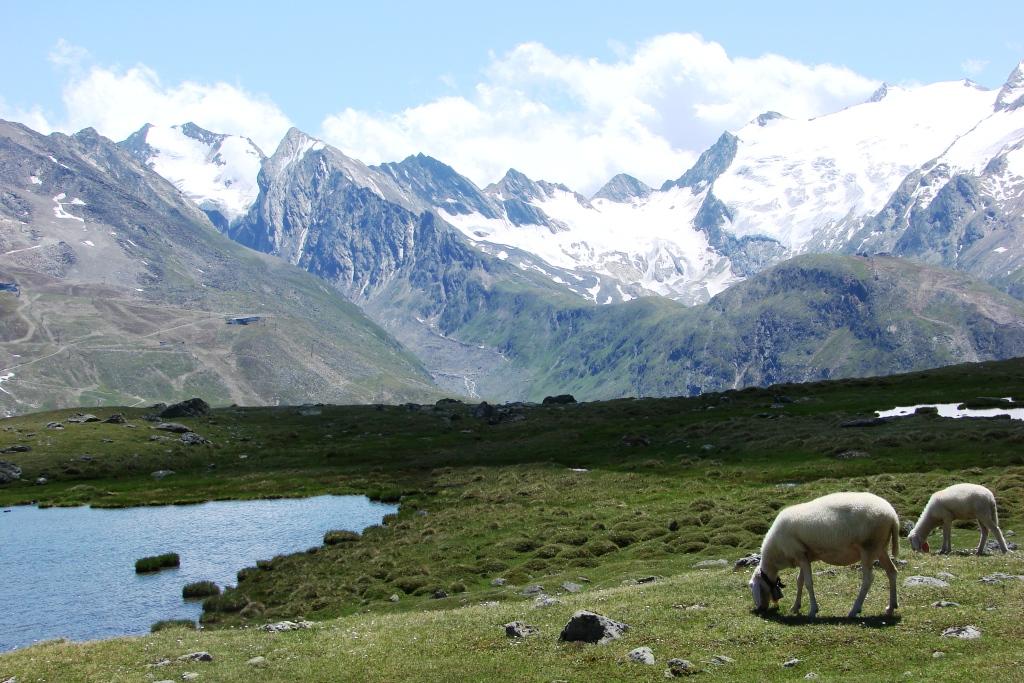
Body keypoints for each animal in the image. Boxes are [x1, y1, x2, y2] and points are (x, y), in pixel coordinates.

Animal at [749, 491, 901, 618]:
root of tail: (893, 515)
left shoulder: (799, 554)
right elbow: (799, 581)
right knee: (892, 571)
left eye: (751, 586)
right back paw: (891, 607)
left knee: (868, 579)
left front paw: (812, 610)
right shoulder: (804, 557)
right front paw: (795, 607)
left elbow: (808, 583)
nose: (760, 610)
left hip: (868, 548)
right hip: (880, 548)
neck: (776, 554)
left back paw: (854, 610)